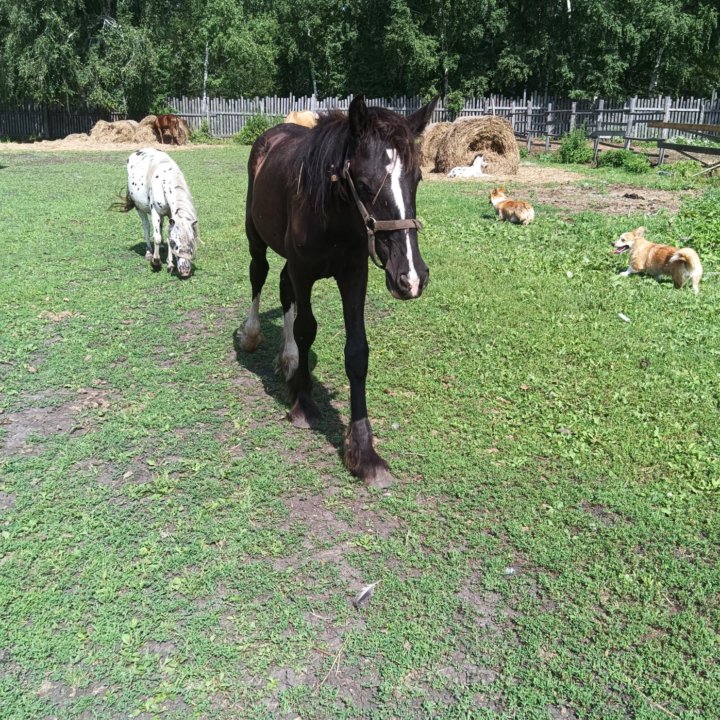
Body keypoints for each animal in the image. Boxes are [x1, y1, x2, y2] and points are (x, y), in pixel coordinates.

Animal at [121, 148, 198, 278]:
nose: (185, 271)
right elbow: (156, 237)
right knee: (146, 226)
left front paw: (170, 264)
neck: (164, 181)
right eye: (174, 242)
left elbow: (167, 233)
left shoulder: (171, 215)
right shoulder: (155, 212)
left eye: (192, 241)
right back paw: (149, 252)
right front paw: (156, 262)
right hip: (140, 208)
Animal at [239, 93, 436, 486]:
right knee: (259, 274)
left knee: (282, 288)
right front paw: (303, 404)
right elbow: (306, 329)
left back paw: (288, 360)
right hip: (256, 237)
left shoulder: (354, 275)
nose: (411, 277)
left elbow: (357, 351)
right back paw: (253, 335)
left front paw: (363, 451)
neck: (333, 215)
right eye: (363, 182)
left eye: (418, 178)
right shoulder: (303, 271)